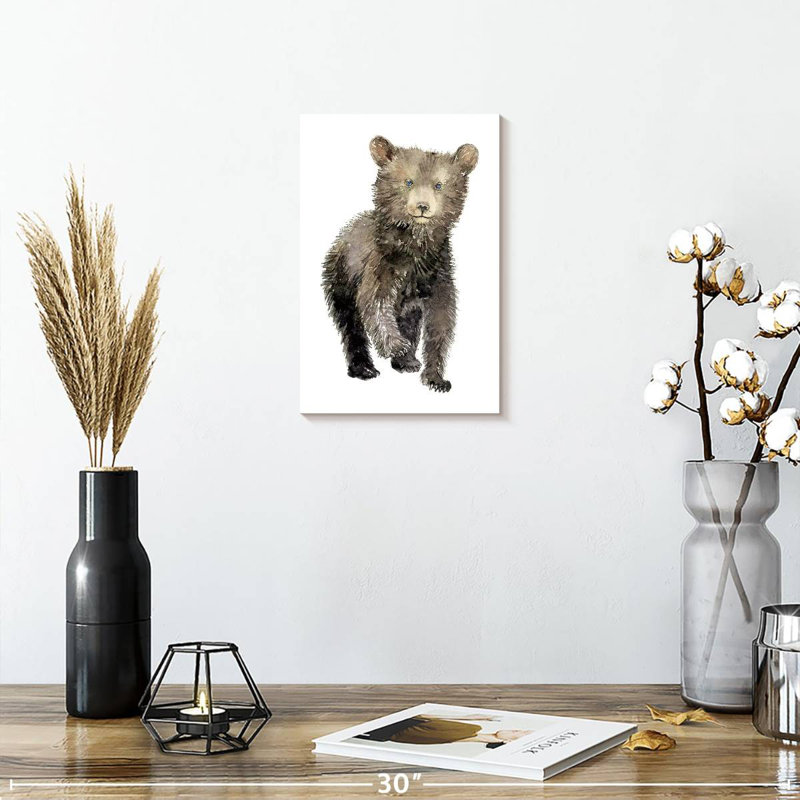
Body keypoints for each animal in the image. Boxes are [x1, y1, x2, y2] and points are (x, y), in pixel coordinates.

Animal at [322, 136, 479, 393]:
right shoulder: (383, 265)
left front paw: (436, 378)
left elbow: (441, 321)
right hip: (340, 277)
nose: (422, 206)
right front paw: (397, 345)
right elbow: (375, 303)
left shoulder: (438, 273)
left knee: (410, 321)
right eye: (408, 181)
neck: (416, 248)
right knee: (350, 324)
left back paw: (407, 362)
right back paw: (365, 368)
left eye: (439, 185)